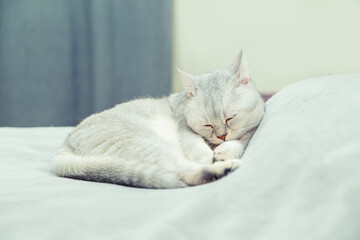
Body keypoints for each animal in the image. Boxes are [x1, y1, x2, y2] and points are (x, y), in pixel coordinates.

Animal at [50, 51, 264, 189]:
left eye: (230, 118)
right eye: (207, 124)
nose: (221, 136)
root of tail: (64, 146)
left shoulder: (250, 131)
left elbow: (240, 143)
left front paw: (225, 151)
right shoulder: (184, 130)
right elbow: (198, 149)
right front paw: (214, 156)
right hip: (150, 144)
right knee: (179, 171)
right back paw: (223, 169)